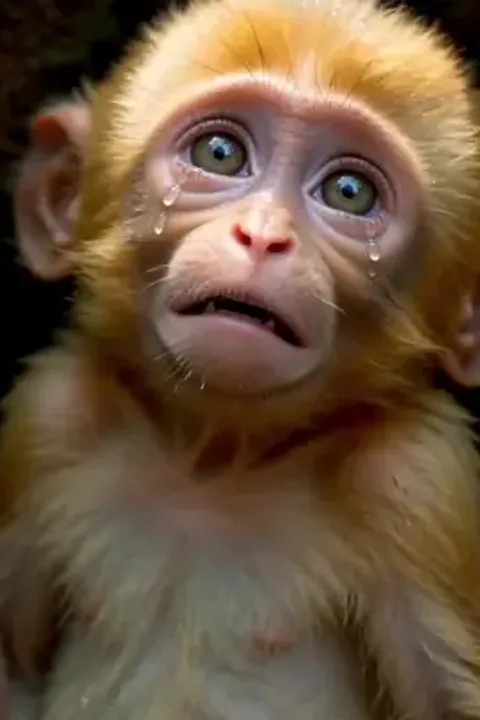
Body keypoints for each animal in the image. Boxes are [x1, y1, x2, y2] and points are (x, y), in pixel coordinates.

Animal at [1, 0, 480, 716]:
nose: (262, 237)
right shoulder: (48, 418)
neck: (212, 463)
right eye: (220, 153)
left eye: (349, 191)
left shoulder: (417, 481)